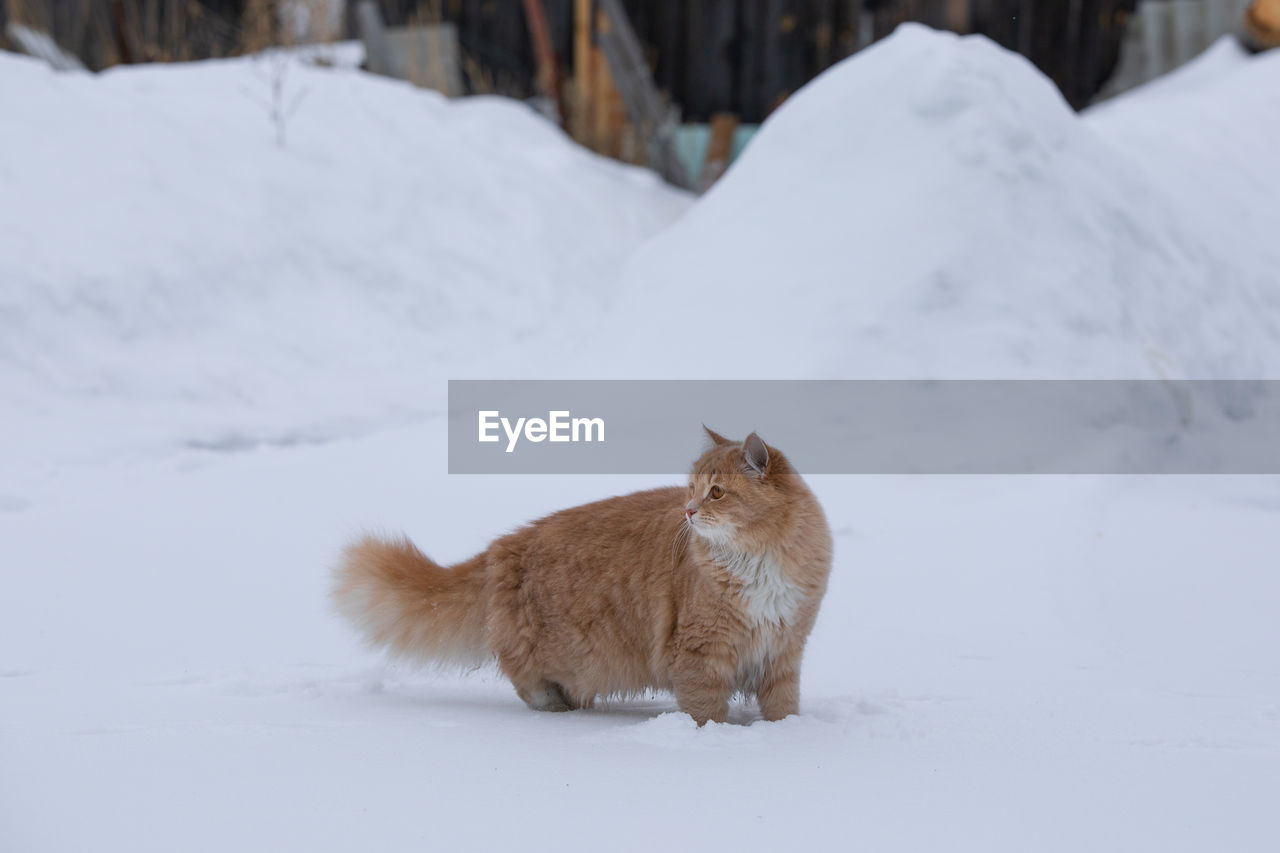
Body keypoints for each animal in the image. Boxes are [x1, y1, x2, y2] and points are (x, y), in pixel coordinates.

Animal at [330, 427, 829, 722]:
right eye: (691, 489)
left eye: (718, 492)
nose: (688, 511)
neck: (758, 559)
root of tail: (504, 546)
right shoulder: (702, 653)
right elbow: (705, 712)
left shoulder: (783, 650)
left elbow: (783, 706)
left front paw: (786, 734)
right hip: (566, 650)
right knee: (520, 673)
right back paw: (553, 706)